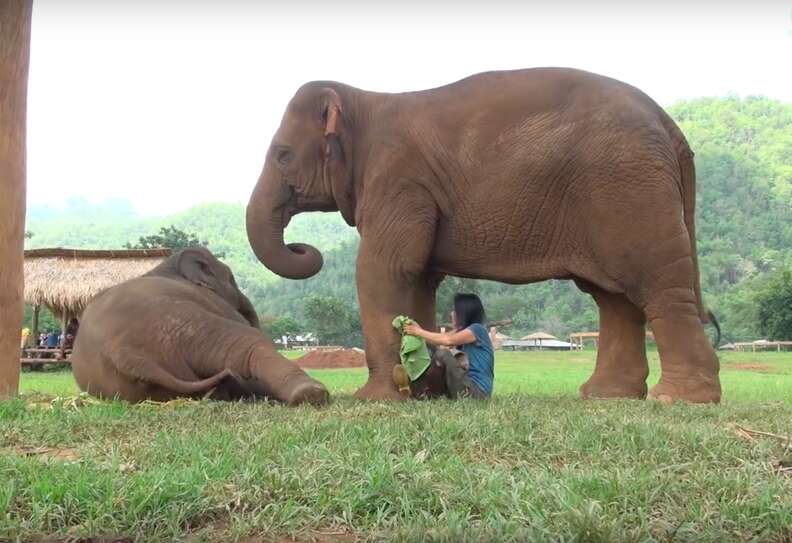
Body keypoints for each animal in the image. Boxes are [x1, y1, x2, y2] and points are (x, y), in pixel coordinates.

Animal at [69, 249, 326, 406]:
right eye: (232, 279)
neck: (167, 263)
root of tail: (121, 353)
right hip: (184, 323)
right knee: (248, 343)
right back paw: (312, 393)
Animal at [249, 68, 724, 404]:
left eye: (283, 155)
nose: (304, 248)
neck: (363, 99)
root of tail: (669, 123)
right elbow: (420, 277)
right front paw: (421, 389)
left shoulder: (399, 181)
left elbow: (382, 269)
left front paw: (376, 399)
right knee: (613, 298)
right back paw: (608, 396)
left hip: (630, 192)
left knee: (655, 286)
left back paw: (678, 399)